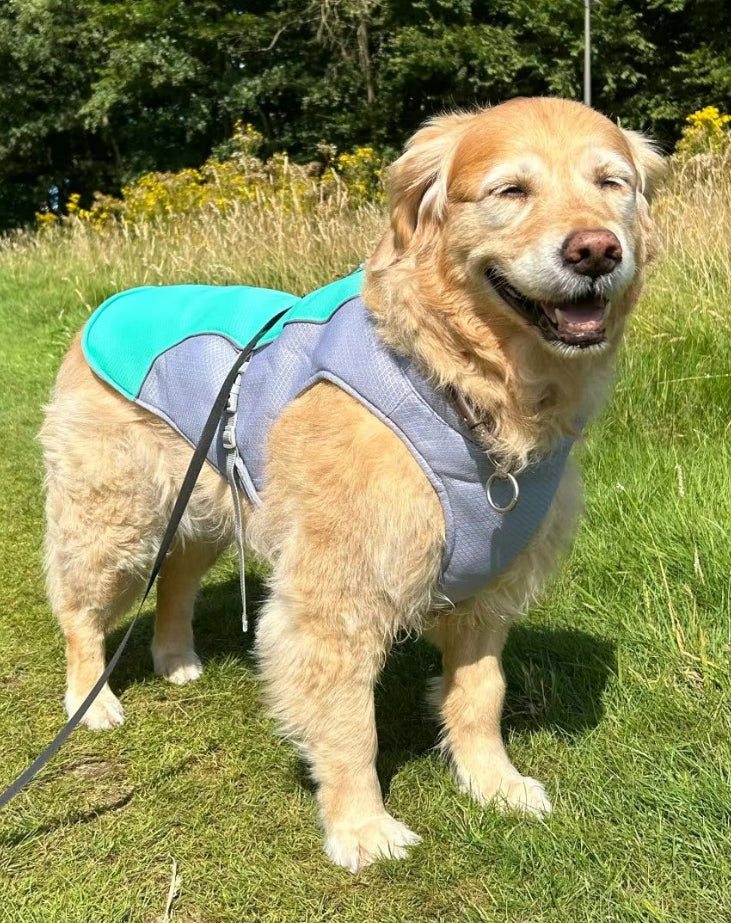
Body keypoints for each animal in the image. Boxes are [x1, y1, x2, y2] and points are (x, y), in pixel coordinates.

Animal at [43, 97, 668, 868]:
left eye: (611, 183)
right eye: (511, 190)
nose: (595, 250)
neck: (464, 385)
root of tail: (112, 303)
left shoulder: (489, 589)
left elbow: (480, 695)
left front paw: (493, 783)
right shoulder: (338, 596)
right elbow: (350, 726)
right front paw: (361, 826)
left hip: (206, 504)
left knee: (178, 580)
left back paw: (177, 657)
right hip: (113, 515)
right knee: (78, 611)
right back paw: (91, 702)